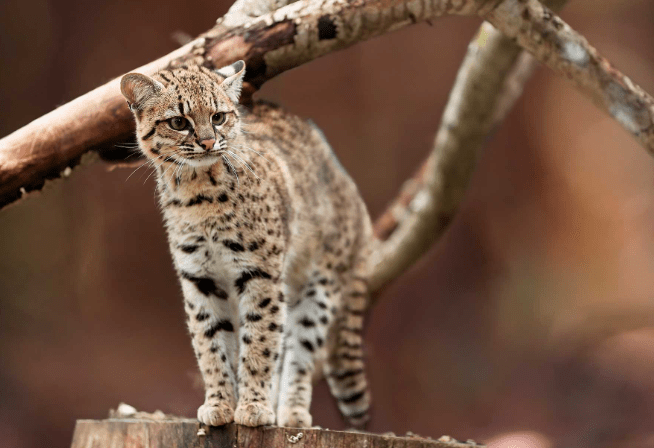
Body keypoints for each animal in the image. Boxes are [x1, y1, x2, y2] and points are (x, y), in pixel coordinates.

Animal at [119, 61, 374, 428]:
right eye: (179, 122)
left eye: (218, 117)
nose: (209, 142)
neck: (198, 194)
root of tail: (350, 186)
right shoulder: (199, 277)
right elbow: (210, 343)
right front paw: (220, 404)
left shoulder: (260, 272)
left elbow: (260, 341)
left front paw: (253, 407)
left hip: (319, 285)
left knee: (300, 348)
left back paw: (292, 413)